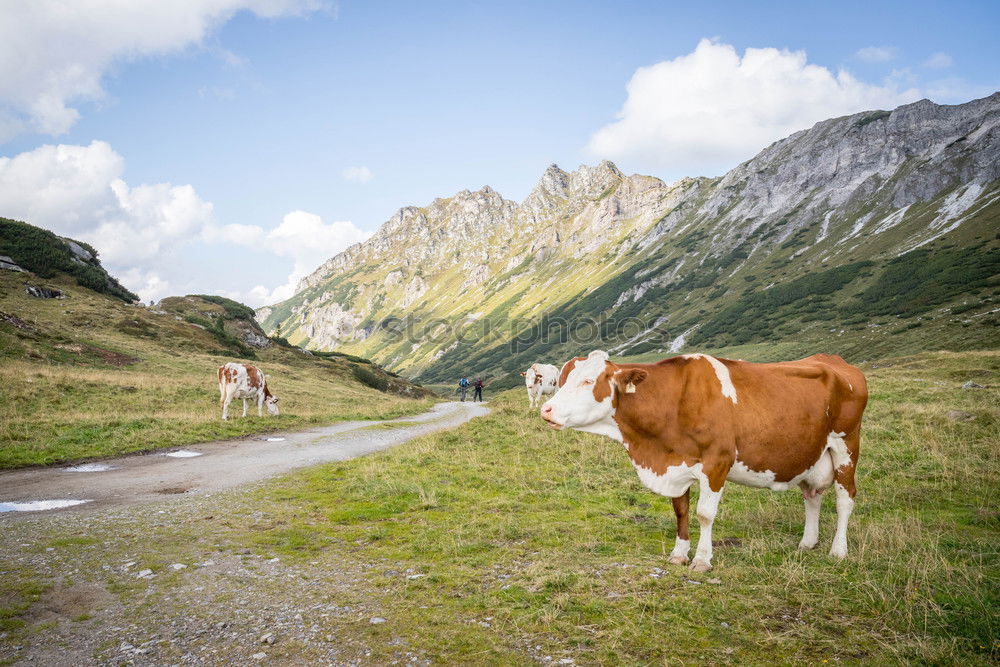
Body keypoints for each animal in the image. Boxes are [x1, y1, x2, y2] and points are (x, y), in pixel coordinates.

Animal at [544, 350, 864, 576]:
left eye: (588, 381)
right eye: (563, 380)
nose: (546, 409)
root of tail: (834, 361)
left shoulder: (716, 462)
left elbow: (704, 514)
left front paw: (701, 559)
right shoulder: (676, 465)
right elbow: (681, 511)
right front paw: (678, 554)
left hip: (846, 445)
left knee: (844, 499)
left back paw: (838, 550)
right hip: (813, 454)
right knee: (812, 496)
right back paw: (807, 542)